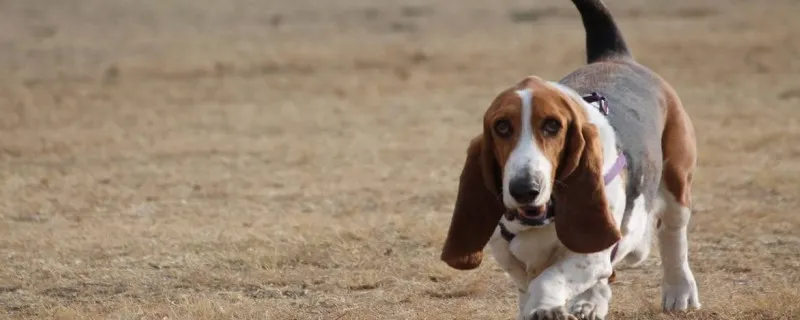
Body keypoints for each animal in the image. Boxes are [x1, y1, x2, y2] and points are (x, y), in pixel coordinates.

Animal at [438, 0, 700, 320]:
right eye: (501, 127)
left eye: (552, 126)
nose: (524, 189)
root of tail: (615, 55)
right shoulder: (509, 255)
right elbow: (529, 284)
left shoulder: (589, 253)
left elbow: (549, 279)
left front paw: (546, 307)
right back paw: (592, 302)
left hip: (677, 183)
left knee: (673, 236)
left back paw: (680, 292)